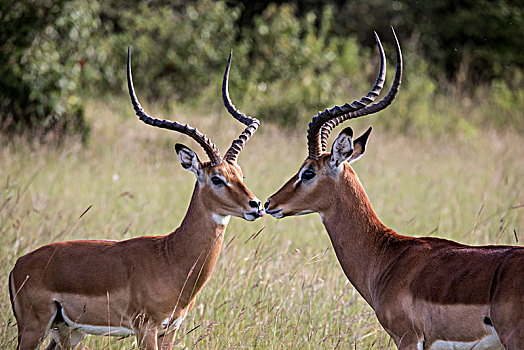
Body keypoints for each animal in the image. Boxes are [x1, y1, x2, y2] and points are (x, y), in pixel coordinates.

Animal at [10, 47, 266, 348]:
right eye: (217, 178)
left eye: (240, 174)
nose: (256, 205)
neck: (171, 256)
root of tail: (17, 265)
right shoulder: (146, 328)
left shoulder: (170, 330)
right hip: (33, 328)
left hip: (68, 332)